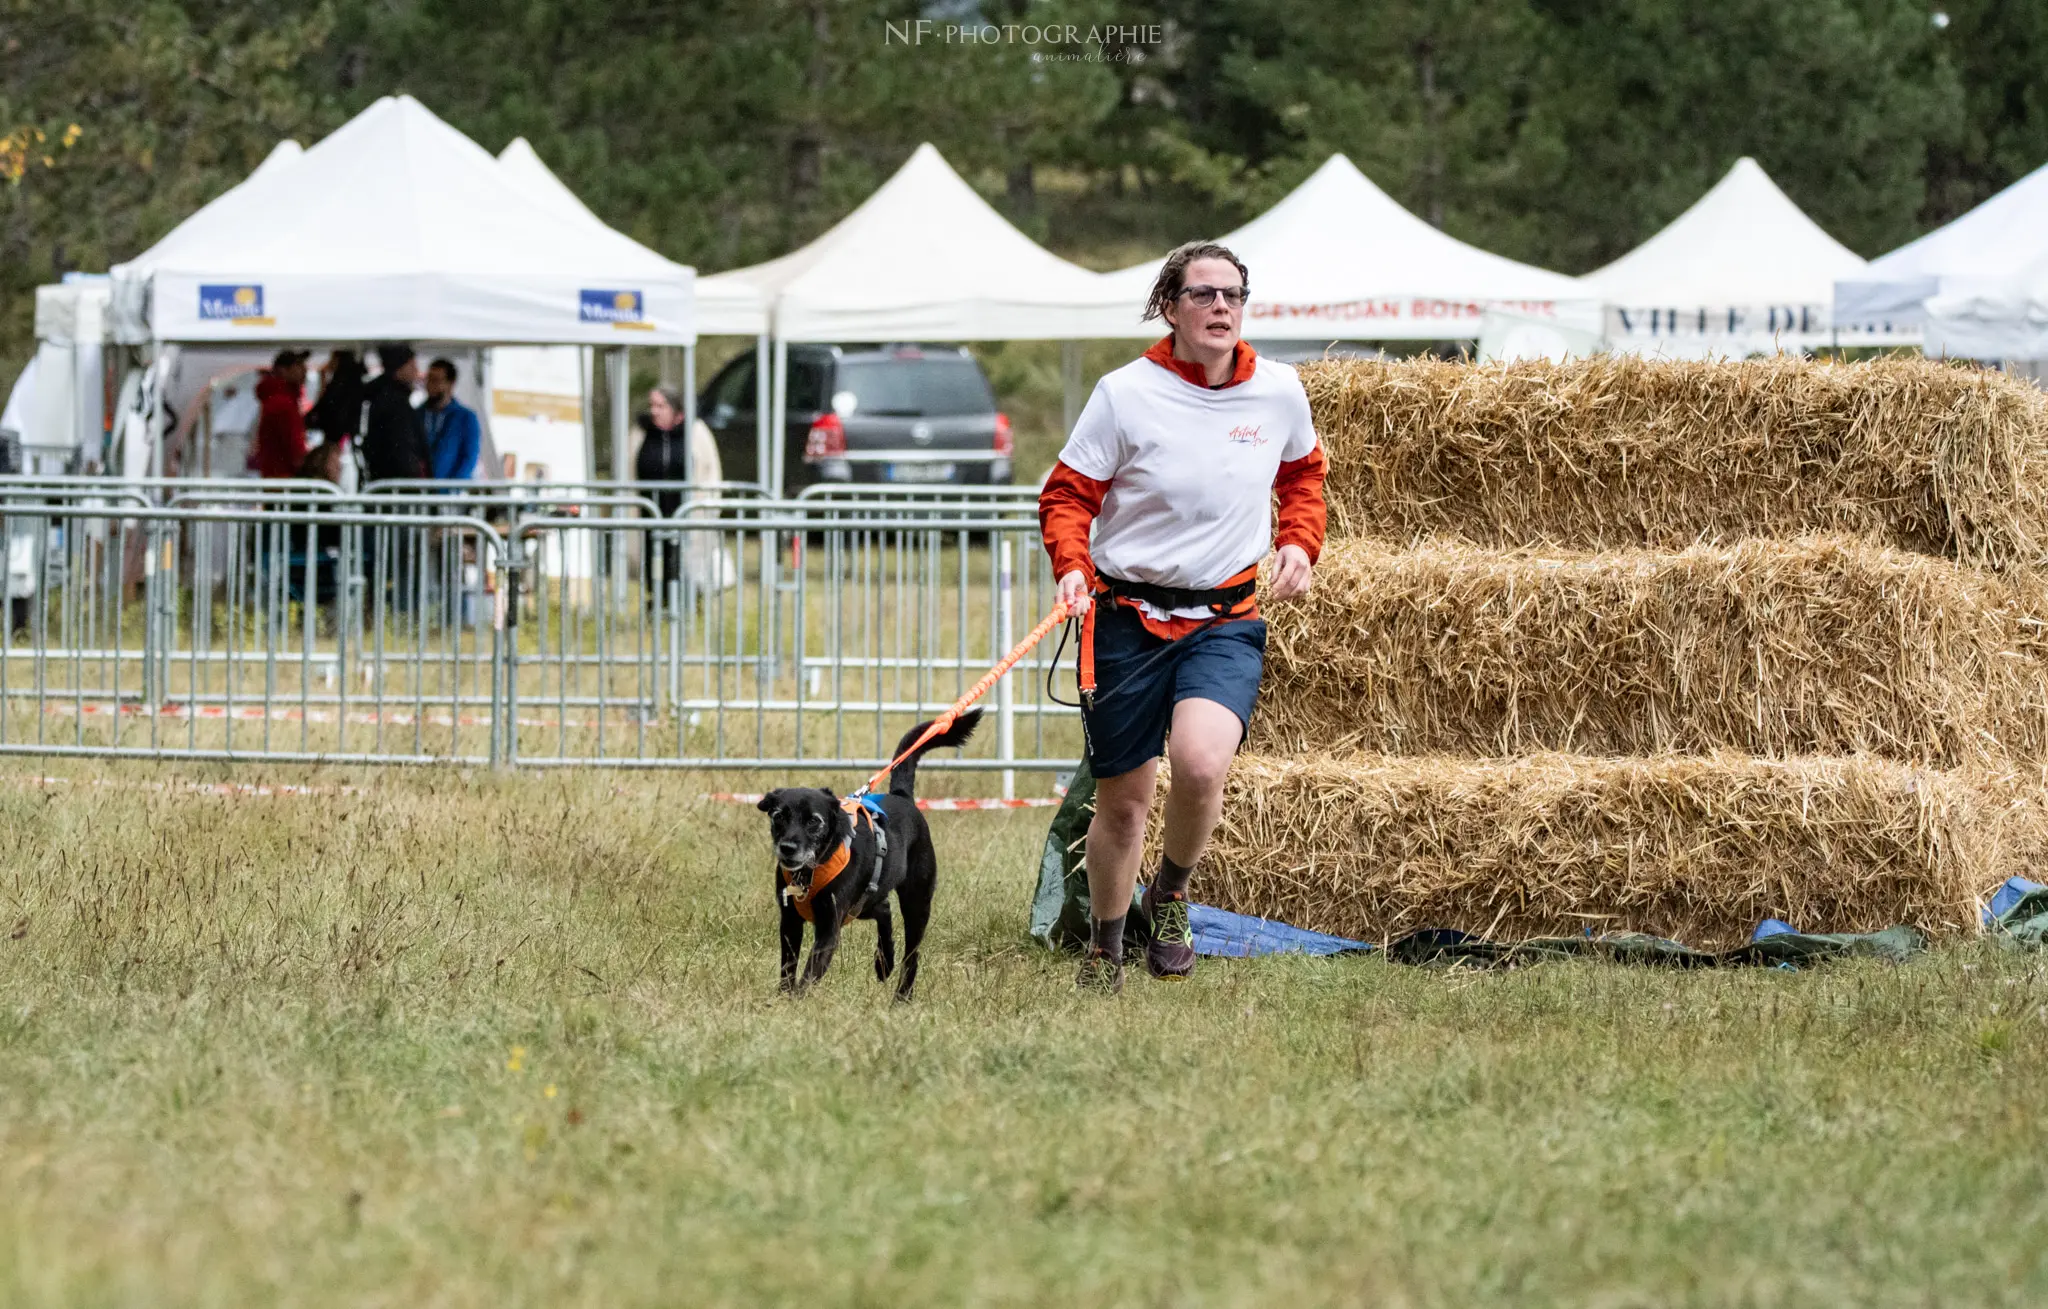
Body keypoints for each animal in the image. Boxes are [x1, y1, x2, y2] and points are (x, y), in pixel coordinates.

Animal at [757, 712, 978, 999]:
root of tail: (902, 796)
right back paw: (884, 962)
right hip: (863, 902)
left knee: (912, 955)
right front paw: (783, 997)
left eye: (814, 821)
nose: (787, 848)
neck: (811, 870)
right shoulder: (790, 922)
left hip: (916, 902)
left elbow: (808, 973)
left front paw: (796, 1000)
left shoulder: (829, 928)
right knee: (884, 909)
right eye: (779, 816)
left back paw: (902, 995)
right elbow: (788, 967)